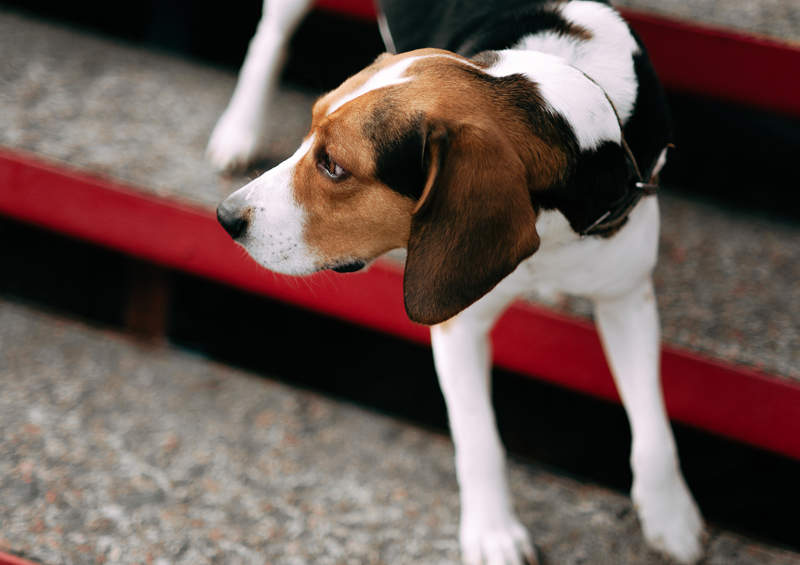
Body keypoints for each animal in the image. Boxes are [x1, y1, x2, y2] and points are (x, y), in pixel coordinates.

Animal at [212, 2, 708, 560]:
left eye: (334, 166)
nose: (225, 217)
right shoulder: (459, 327)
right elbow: (479, 440)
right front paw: (494, 534)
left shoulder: (627, 296)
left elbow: (654, 428)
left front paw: (671, 517)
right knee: (269, 37)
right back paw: (238, 129)